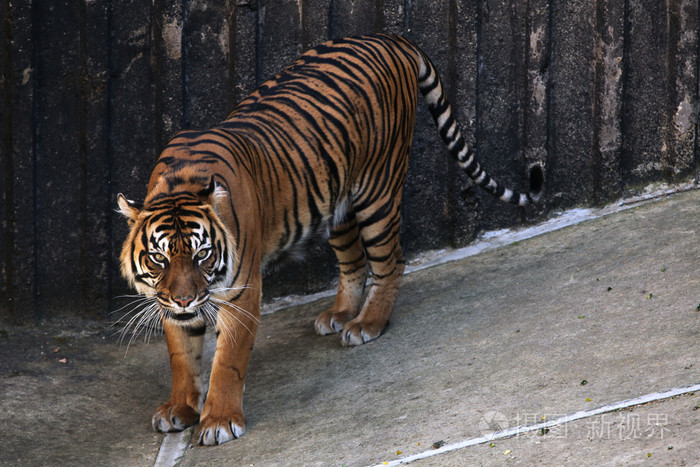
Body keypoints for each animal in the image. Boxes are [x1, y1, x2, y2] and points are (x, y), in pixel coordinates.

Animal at [117, 33, 543, 446]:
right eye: (159, 259)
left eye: (203, 254)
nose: (185, 300)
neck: (182, 183)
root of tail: (391, 37)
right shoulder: (169, 303)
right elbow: (182, 357)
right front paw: (180, 408)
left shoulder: (241, 292)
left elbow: (227, 363)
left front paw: (219, 421)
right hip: (336, 204)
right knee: (353, 262)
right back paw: (340, 314)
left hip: (378, 193)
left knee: (391, 262)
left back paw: (367, 323)